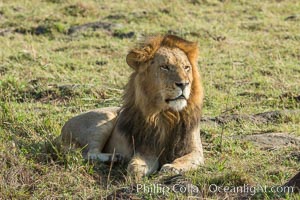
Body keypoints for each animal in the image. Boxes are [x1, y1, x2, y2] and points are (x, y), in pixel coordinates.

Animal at [61, 34, 206, 178]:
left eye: (186, 67)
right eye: (165, 67)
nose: (184, 84)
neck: (169, 114)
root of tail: (61, 132)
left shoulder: (195, 150)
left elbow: (186, 159)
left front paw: (171, 167)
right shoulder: (146, 150)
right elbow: (136, 165)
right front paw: (134, 174)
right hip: (104, 120)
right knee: (87, 153)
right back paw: (114, 157)